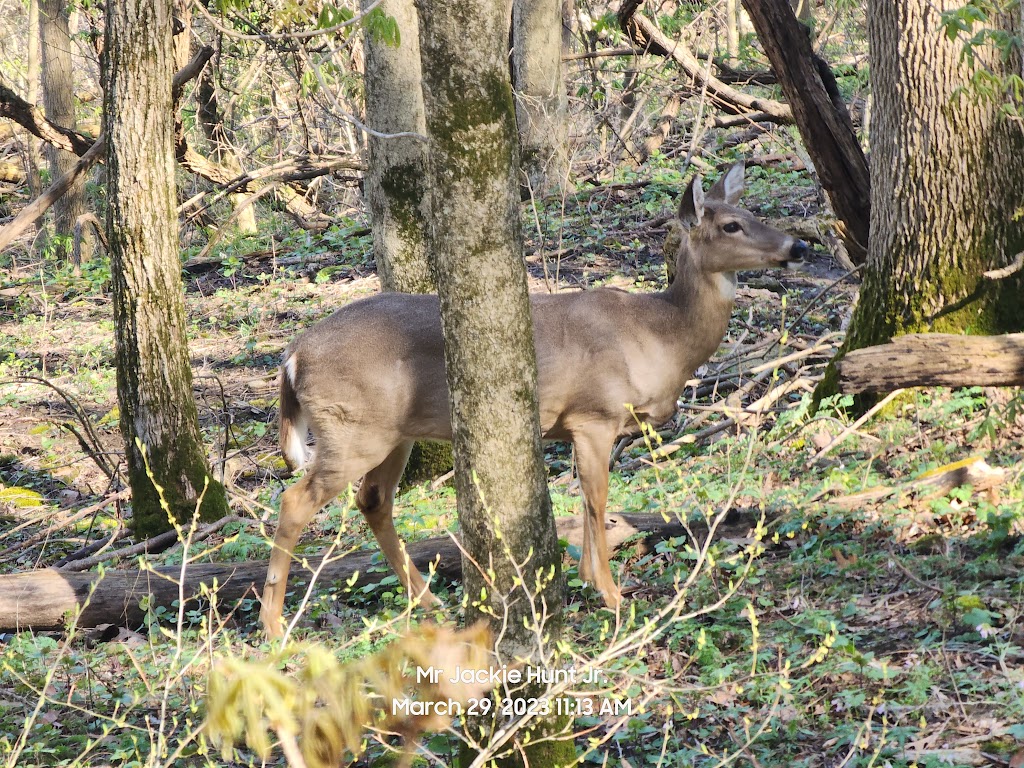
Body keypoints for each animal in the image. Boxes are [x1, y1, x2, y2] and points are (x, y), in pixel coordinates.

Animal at [260, 162, 802, 638]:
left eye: (752, 211)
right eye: (731, 225)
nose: (796, 245)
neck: (660, 335)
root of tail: (293, 355)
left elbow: (586, 500)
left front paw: (589, 579)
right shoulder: (594, 414)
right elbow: (597, 497)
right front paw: (611, 593)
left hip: (393, 434)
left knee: (372, 500)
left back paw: (429, 602)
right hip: (354, 429)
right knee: (294, 501)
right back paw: (274, 626)